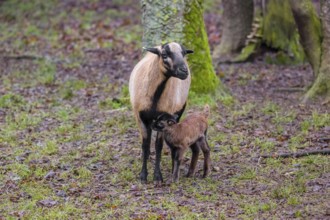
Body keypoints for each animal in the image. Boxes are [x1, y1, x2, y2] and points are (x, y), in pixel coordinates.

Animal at [129, 41, 193, 184]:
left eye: (184, 54)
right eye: (164, 55)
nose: (184, 71)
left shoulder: (164, 118)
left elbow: (158, 146)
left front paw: (157, 177)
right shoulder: (140, 117)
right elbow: (145, 144)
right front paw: (143, 176)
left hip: (179, 110)